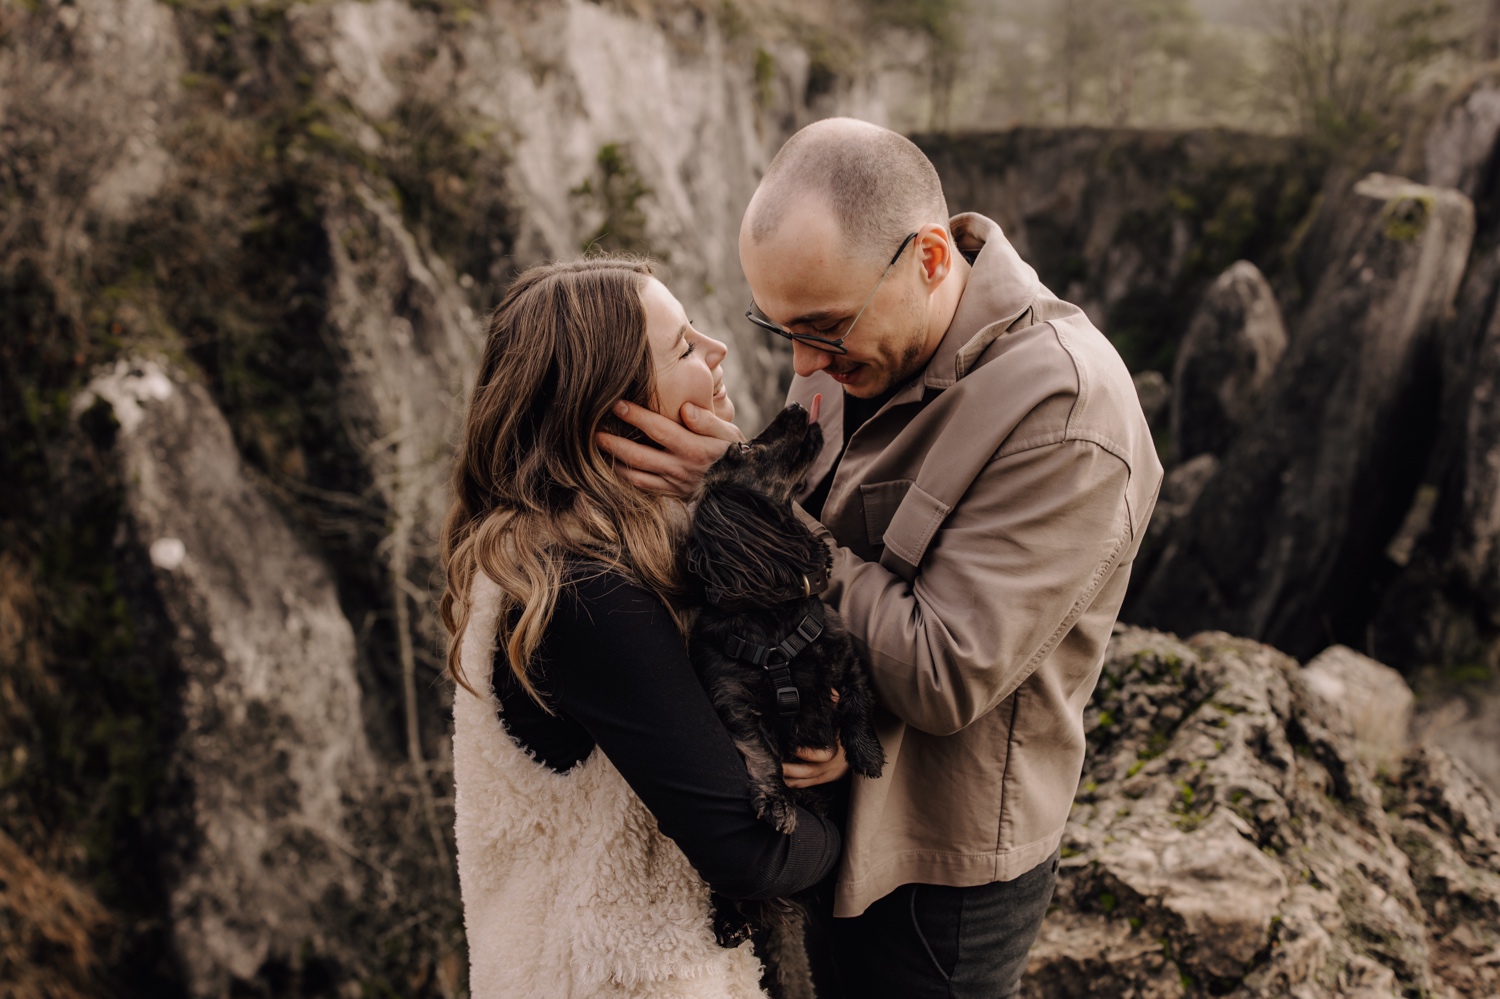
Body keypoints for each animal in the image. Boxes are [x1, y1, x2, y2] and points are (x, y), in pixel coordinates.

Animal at [687, 399, 882, 834]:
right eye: (741, 449)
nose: (794, 403)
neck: (773, 616)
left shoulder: (845, 658)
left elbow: (856, 701)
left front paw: (867, 753)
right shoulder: (732, 697)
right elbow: (760, 749)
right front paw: (777, 799)